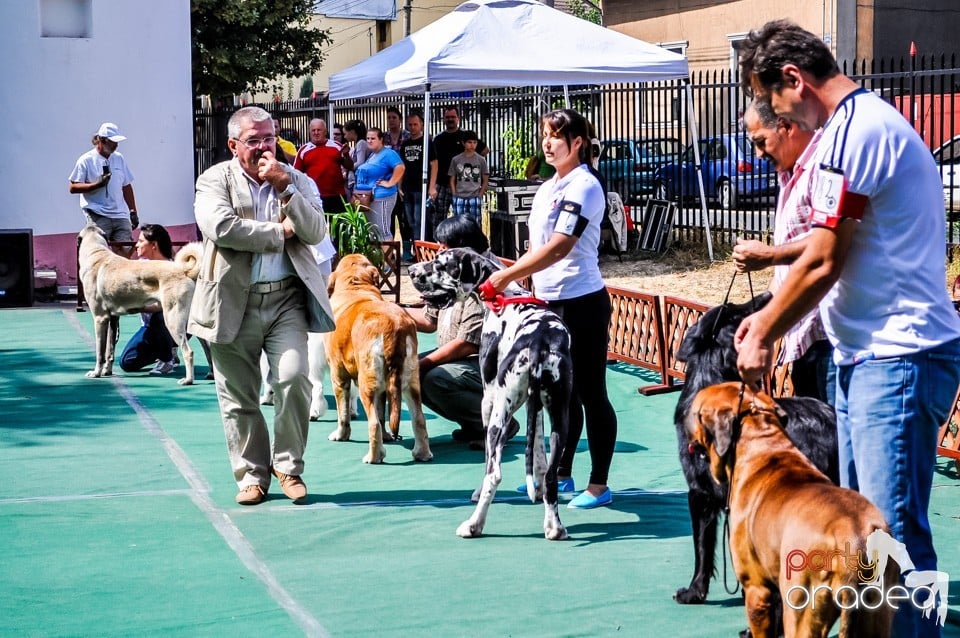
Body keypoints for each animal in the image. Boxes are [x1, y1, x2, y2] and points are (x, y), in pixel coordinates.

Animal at [79, 225, 204, 384]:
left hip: (172, 319)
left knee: (188, 351)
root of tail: (184, 270)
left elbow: (100, 352)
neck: (96, 251)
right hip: (189, 320)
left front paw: (96, 373)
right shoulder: (113, 319)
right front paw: (107, 371)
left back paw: (188, 380)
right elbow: (109, 351)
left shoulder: (100, 318)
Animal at [324, 254, 434, 464]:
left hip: (366, 383)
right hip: (410, 382)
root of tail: (393, 326)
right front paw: (387, 437)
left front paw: (341, 435)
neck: (355, 285)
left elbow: (343, 413)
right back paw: (422, 454)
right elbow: (383, 414)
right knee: (419, 419)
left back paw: (374, 457)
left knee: (373, 422)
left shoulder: (338, 376)